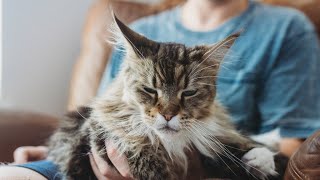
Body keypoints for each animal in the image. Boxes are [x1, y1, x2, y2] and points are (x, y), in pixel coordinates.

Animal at [47, 15, 288, 180]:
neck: (170, 143)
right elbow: (137, 149)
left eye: (189, 92)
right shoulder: (94, 138)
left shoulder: (206, 144)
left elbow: (230, 148)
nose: (168, 115)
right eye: (150, 90)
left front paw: (261, 159)